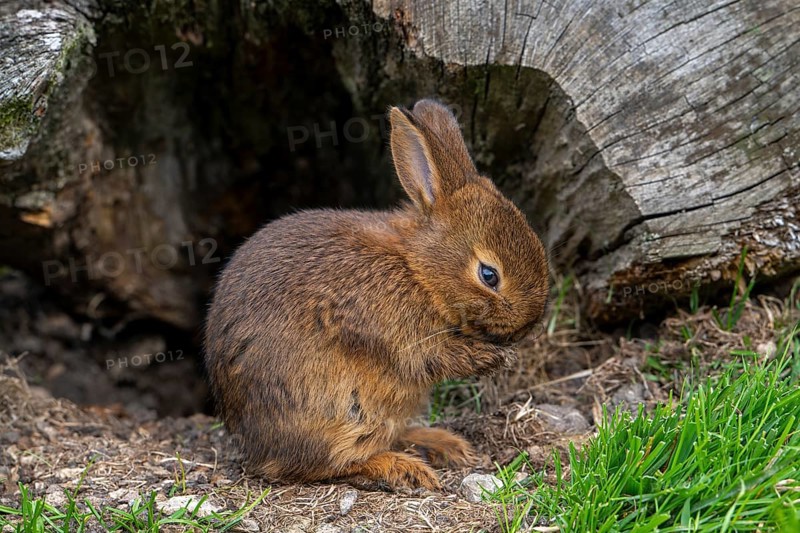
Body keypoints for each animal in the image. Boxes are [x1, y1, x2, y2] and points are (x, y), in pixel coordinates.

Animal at [204, 99, 549, 490]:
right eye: (489, 275)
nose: (528, 325)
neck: (417, 267)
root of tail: (253, 447)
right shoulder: (403, 335)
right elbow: (434, 358)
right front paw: (495, 358)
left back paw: (440, 444)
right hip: (336, 413)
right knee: (322, 465)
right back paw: (403, 468)